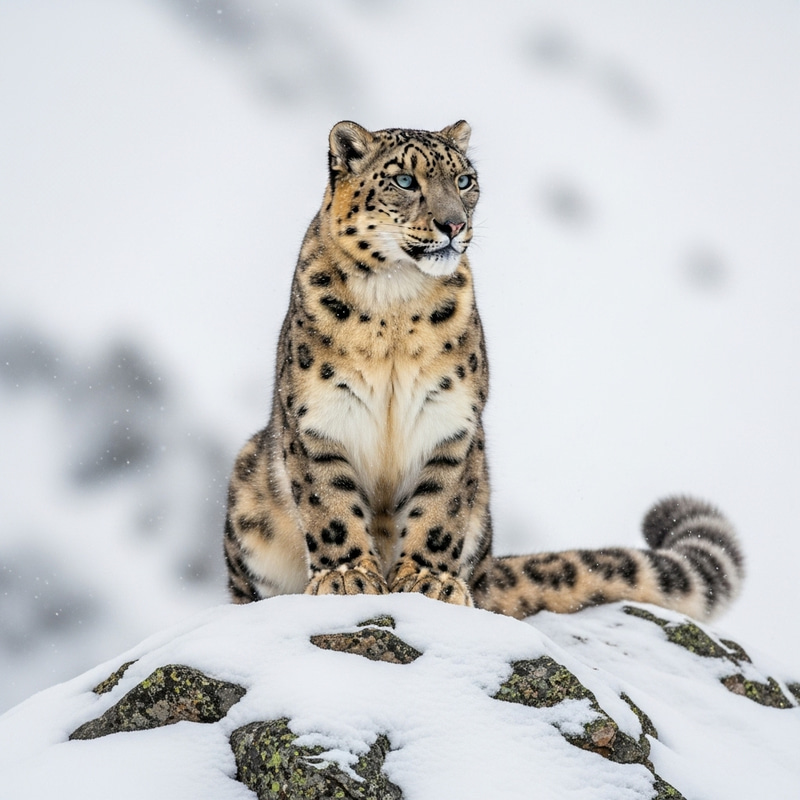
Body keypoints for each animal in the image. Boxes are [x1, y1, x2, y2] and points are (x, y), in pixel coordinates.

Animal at [223, 120, 744, 622]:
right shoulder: (319, 416)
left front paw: (429, 581)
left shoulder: (450, 419)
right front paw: (347, 576)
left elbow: (440, 507)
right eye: (405, 180)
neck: (394, 304)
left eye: (464, 180)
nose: (454, 223)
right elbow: (329, 502)